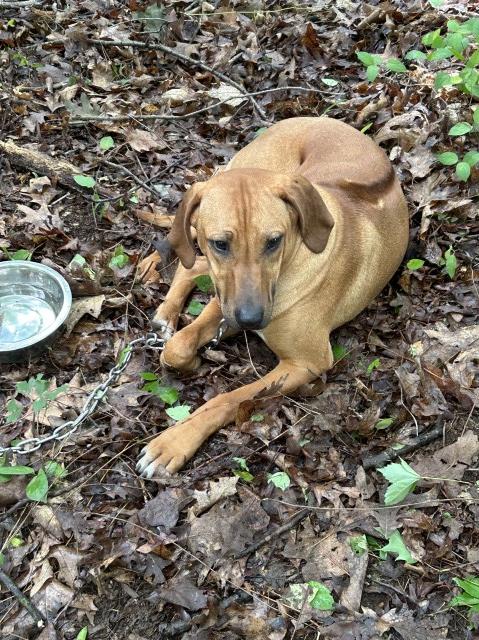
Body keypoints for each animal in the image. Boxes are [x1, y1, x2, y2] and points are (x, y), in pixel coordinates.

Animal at [136, 117, 408, 478]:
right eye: (221, 243)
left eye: (274, 241)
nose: (251, 318)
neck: (289, 265)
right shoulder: (227, 302)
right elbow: (178, 346)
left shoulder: (305, 363)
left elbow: (228, 398)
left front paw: (174, 442)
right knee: (187, 257)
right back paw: (161, 299)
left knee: (191, 264)